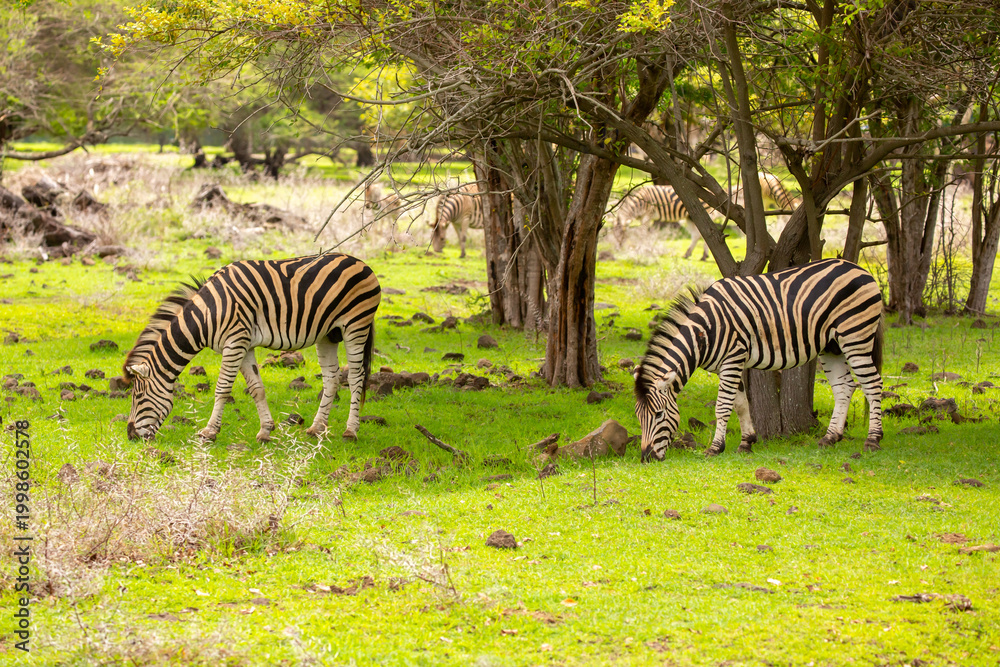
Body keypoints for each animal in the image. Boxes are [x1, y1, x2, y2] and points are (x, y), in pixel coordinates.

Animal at [123, 253, 381, 443]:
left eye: (138, 396)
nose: (131, 435)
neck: (206, 314)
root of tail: (360, 262)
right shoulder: (244, 345)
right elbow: (257, 388)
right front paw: (266, 430)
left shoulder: (235, 341)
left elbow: (222, 389)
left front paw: (209, 432)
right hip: (328, 334)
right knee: (332, 377)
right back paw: (316, 428)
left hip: (356, 325)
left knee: (356, 377)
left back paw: (351, 431)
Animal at [634, 258, 884, 461]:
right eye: (638, 415)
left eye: (658, 414)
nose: (646, 458)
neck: (705, 332)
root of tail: (860, 268)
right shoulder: (729, 365)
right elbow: (741, 404)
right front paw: (746, 443)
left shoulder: (732, 359)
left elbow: (723, 407)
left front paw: (715, 448)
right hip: (831, 347)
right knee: (844, 387)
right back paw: (830, 438)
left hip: (855, 336)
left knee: (873, 385)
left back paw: (873, 439)